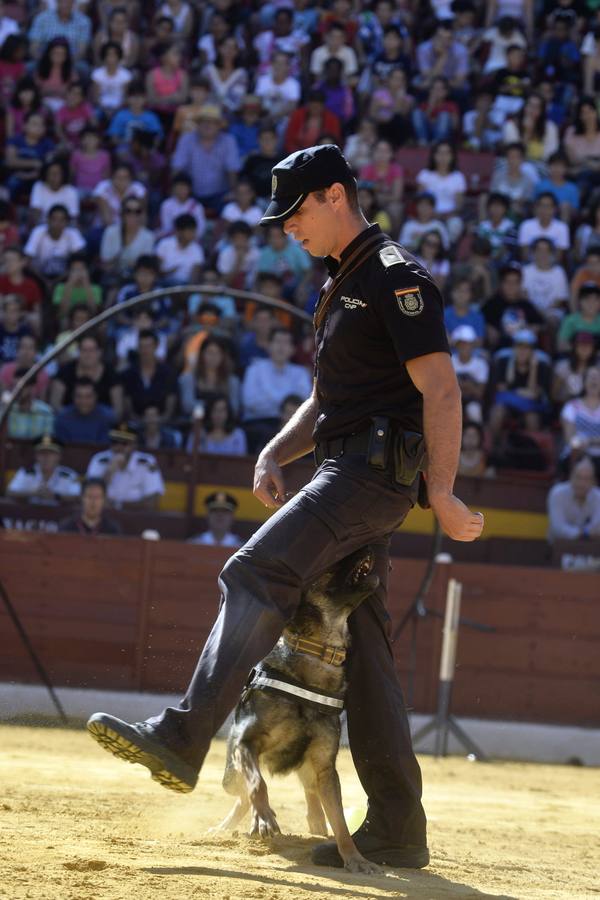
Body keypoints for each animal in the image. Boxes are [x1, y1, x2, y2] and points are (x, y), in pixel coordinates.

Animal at [217, 544, 384, 876]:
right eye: (331, 565)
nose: (367, 545)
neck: (319, 652)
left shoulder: (325, 767)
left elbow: (341, 822)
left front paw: (354, 858)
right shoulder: (246, 742)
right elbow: (258, 784)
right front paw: (264, 818)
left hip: (308, 769)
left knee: (309, 796)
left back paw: (315, 824)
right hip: (230, 773)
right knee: (242, 793)